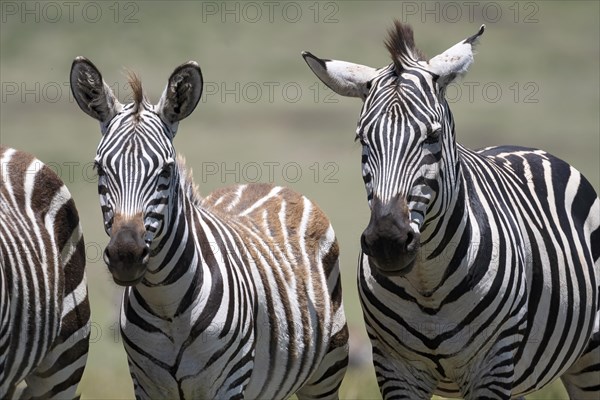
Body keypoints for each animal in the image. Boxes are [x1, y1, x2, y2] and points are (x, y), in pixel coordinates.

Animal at [70, 57, 350, 400]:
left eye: (167, 170)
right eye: (99, 168)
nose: (126, 256)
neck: (166, 304)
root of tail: (268, 183)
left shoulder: (228, 384)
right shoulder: (146, 385)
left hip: (327, 369)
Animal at [304, 22, 600, 400]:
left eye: (433, 135)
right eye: (362, 139)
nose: (388, 242)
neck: (426, 281)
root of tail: (525, 147)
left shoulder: (493, 365)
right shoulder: (394, 367)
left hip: (589, 356)